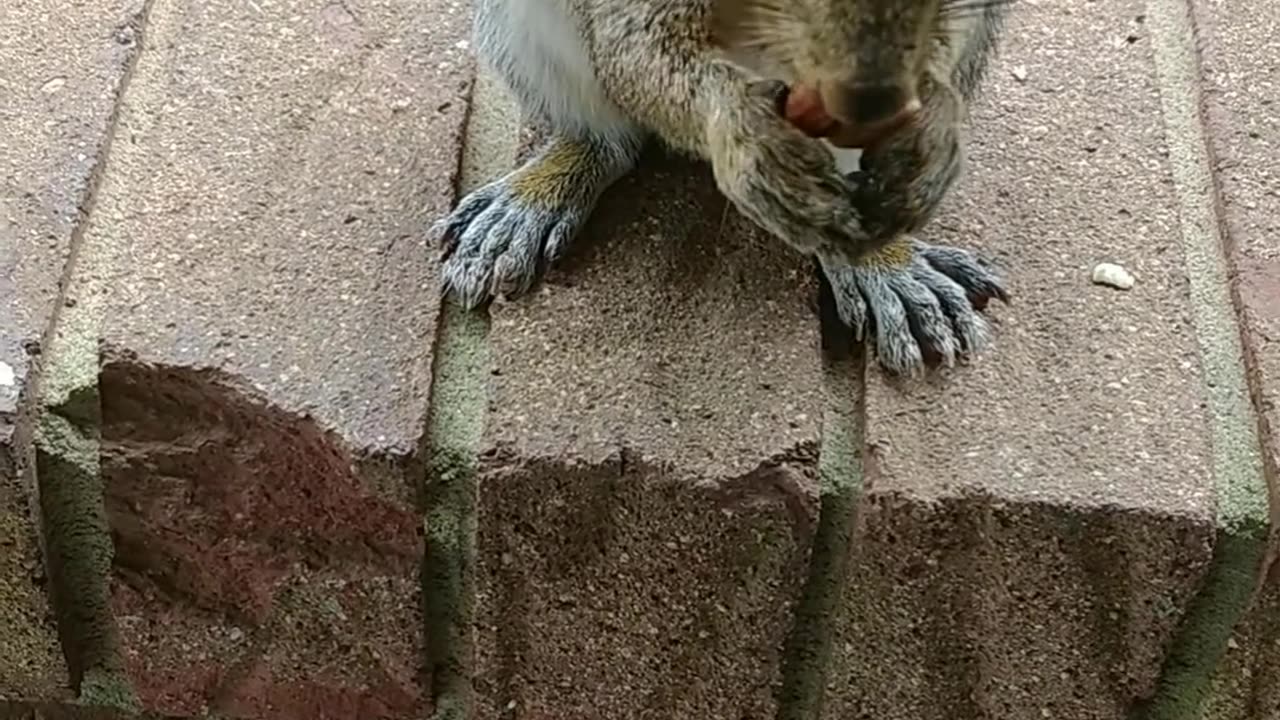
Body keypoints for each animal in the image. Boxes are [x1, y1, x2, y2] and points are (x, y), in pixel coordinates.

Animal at [435, 0, 1013, 371]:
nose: (870, 94)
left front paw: (931, 135)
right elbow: (641, 53)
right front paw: (741, 132)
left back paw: (882, 262)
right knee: (606, 137)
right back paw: (534, 199)